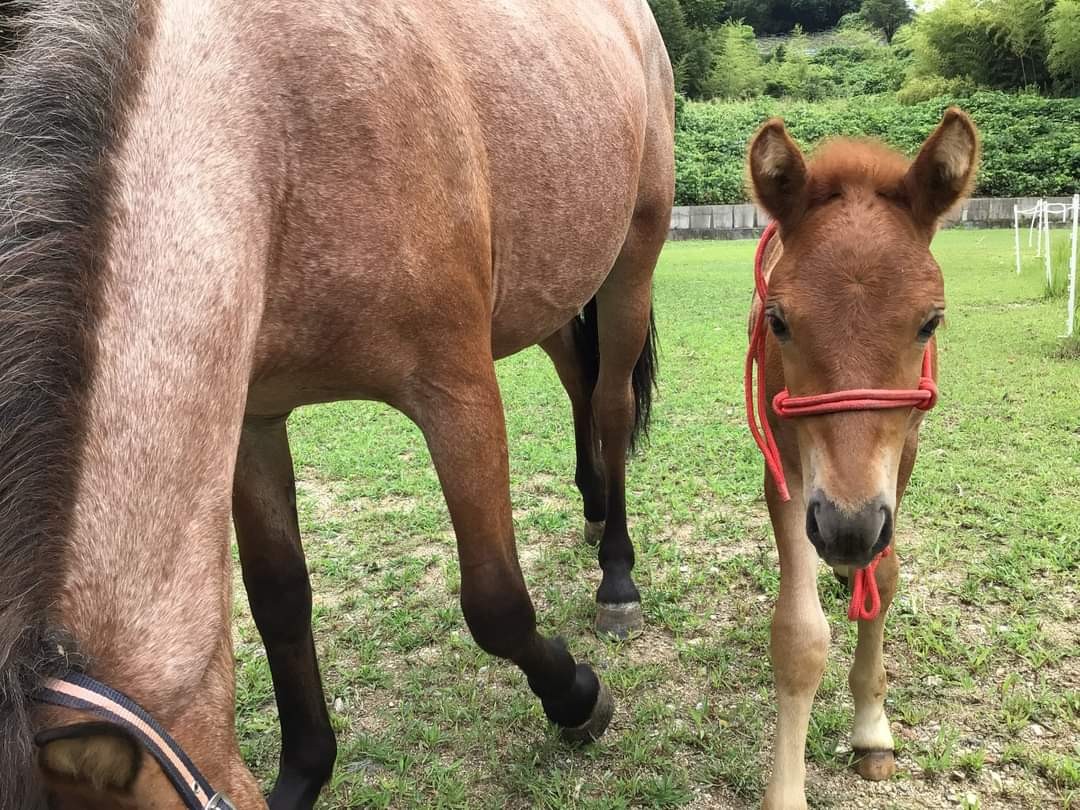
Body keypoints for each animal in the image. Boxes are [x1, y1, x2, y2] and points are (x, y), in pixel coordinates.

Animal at [0, 1, 674, 807]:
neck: (274, 135)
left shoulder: (458, 389)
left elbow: (496, 604)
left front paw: (577, 698)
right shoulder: (253, 421)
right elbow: (279, 601)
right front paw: (303, 771)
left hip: (633, 259)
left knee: (609, 406)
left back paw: (617, 574)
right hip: (554, 285)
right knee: (577, 378)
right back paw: (594, 508)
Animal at [744, 109, 980, 809]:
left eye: (930, 322)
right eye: (779, 321)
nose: (846, 529)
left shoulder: (902, 455)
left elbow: (891, 571)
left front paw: (873, 729)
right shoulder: (787, 468)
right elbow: (800, 637)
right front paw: (786, 792)